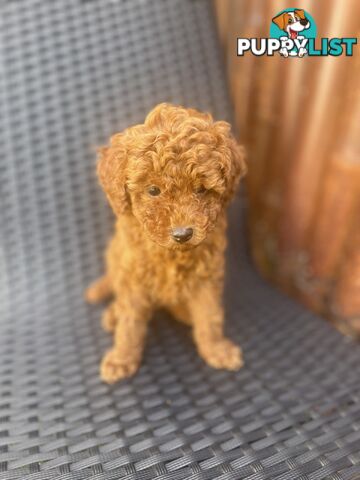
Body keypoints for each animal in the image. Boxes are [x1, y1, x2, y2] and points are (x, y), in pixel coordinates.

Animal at [86, 104, 246, 382]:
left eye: (201, 189)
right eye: (153, 190)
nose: (182, 234)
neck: (172, 253)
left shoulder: (207, 276)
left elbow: (210, 316)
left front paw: (217, 349)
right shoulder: (134, 278)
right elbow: (130, 323)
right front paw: (121, 358)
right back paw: (111, 311)